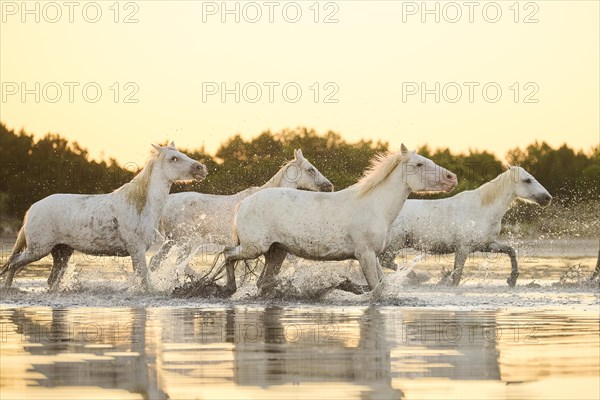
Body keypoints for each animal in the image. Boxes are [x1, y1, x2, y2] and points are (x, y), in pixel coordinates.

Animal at [0, 144, 205, 290]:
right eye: (174, 158)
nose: (200, 168)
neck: (140, 205)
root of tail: (33, 209)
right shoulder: (136, 250)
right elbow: (145, 282)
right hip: (38, 250)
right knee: (13, 264)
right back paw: (8, 288)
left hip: (62, 251)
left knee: (51, 280)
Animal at [146, 149, 332, 288]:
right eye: (310, 169)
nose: (329, 186)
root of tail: (167, 203)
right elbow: (293, 262)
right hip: (184, 242)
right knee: (171, 264)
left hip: (179, 243)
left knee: (164, 263)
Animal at [223, 145, 458, 296]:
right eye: (419, 164)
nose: (452, 178)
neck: (375, 205)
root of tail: (243, 204)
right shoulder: (365, 255)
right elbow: (377, 291)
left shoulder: (374, 255)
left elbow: (382, 286)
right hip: (254, 248)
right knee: (227, 253)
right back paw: (228, 288)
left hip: (277, 252)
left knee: (262, 282)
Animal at [380, 167, 552, 286]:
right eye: (527, 180)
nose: (547, 198)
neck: (483, 210)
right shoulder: (463, 248)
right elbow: (457, 275)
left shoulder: (486, 245)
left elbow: (511, 251)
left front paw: (512, 280)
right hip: (394, 244)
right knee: (385, 262)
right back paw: (418, 278)